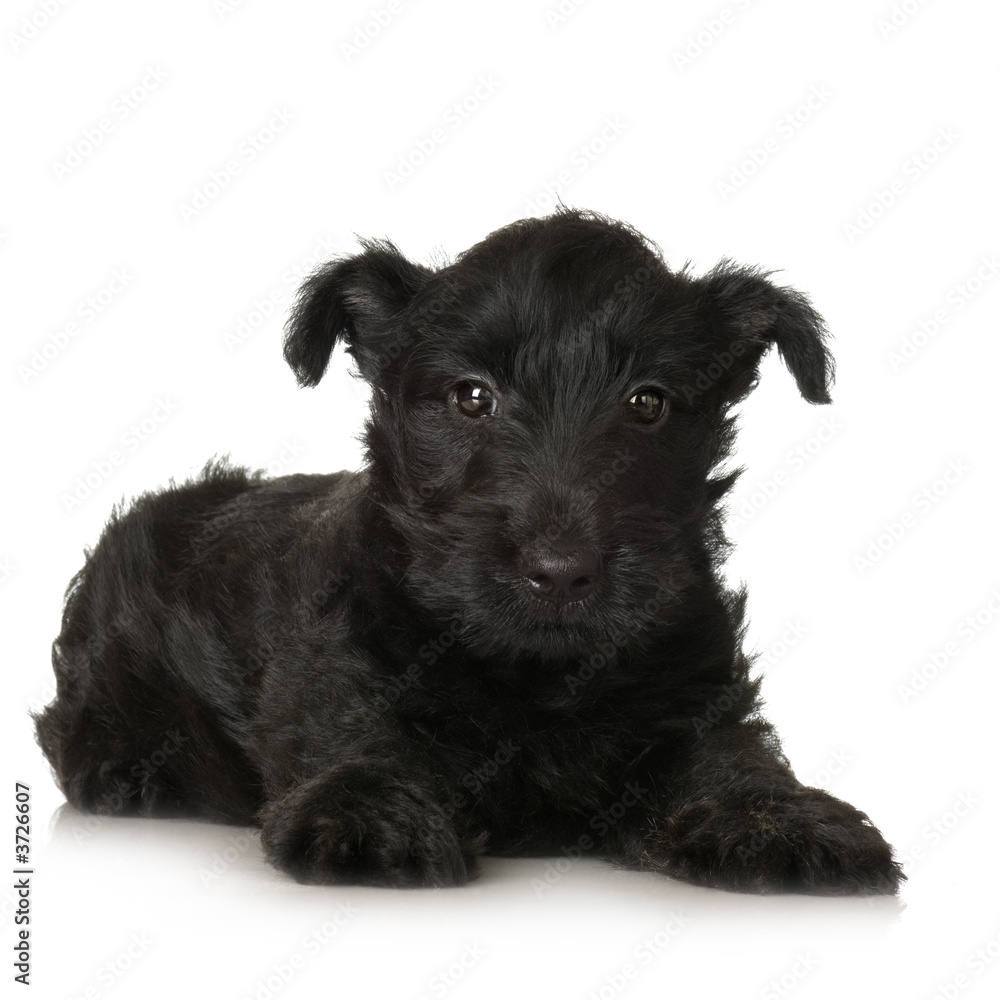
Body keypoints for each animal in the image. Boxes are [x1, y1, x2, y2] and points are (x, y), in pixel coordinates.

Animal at [35, 209, 904, 892]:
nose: (560, 572)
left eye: (649, 403)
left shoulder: (699, 691)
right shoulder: (348, 667)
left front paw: (783, 819)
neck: (541, 674)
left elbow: (731, 756)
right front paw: (371, 810)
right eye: (471, 396)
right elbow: (366, 735)